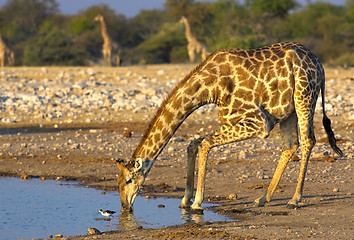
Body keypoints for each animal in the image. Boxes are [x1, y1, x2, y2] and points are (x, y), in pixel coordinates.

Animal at [116, 41, 342, 212]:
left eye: (128, 181)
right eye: (117, 181)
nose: (125, 207)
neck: (209, 87)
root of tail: (319, 66)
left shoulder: (258, 123)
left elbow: (204, 144)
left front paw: (197, 202)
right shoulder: (231, 121)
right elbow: (193, 144)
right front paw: (185, 200)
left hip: (304, 96)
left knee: (307, 141)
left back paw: (294, 199)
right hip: (289, 110)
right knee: (290, 145)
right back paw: (262, 198)